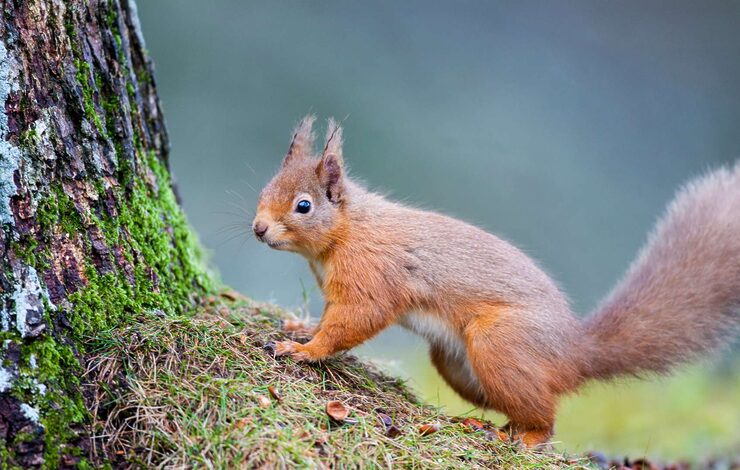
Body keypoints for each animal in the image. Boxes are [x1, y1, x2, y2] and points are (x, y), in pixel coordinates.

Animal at [253, 115, 740, 446]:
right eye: (265, 188)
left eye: (303, 206)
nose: (258, 229)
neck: (347, 231)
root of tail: (575, 352)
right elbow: (329, 318)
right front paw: (300, 327)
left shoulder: (372, 274)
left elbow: (353, 320)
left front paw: (304, 349)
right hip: (458, 364)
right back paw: (483, 423)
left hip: (499, 344)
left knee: (545, 418)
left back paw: (525, 438)